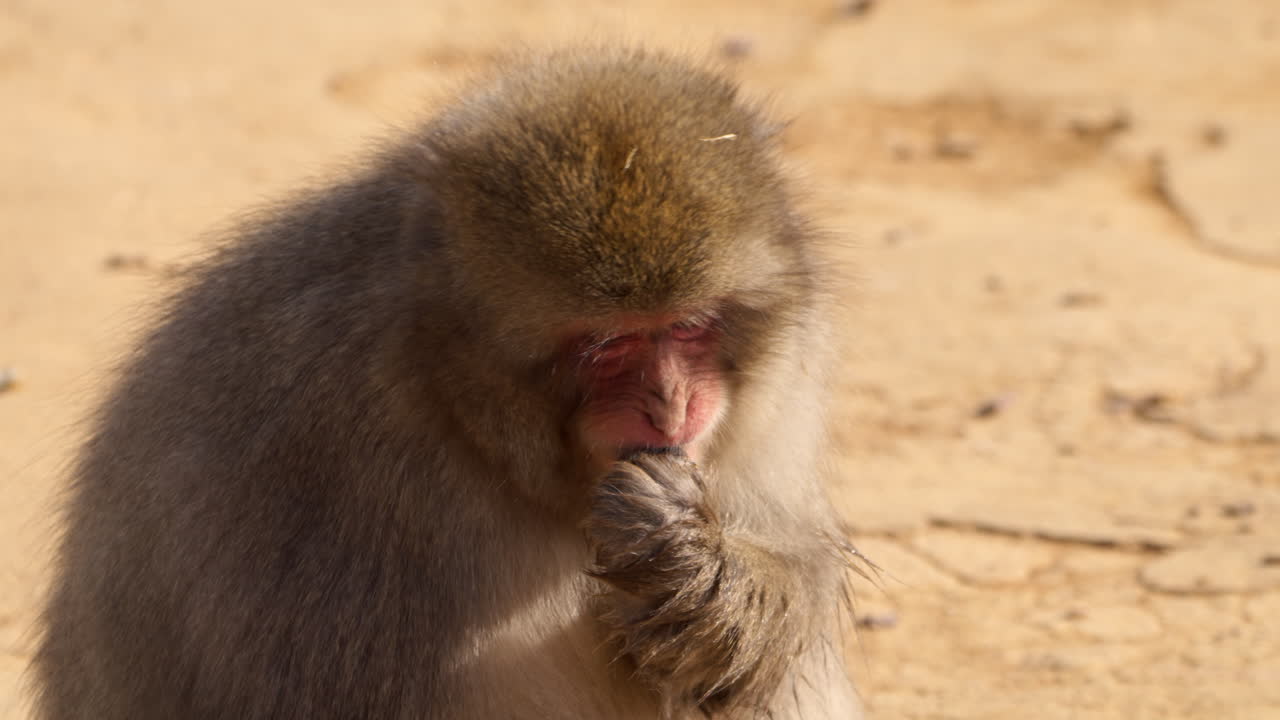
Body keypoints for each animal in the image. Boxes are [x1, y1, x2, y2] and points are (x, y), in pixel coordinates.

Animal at [31, 46, 863, 719]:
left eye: (688, 326)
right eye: (606, 346)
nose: (672, 403)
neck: (460, 406)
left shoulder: (780, 389)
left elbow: (797, 568)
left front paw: (693, 562)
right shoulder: (324, 447)